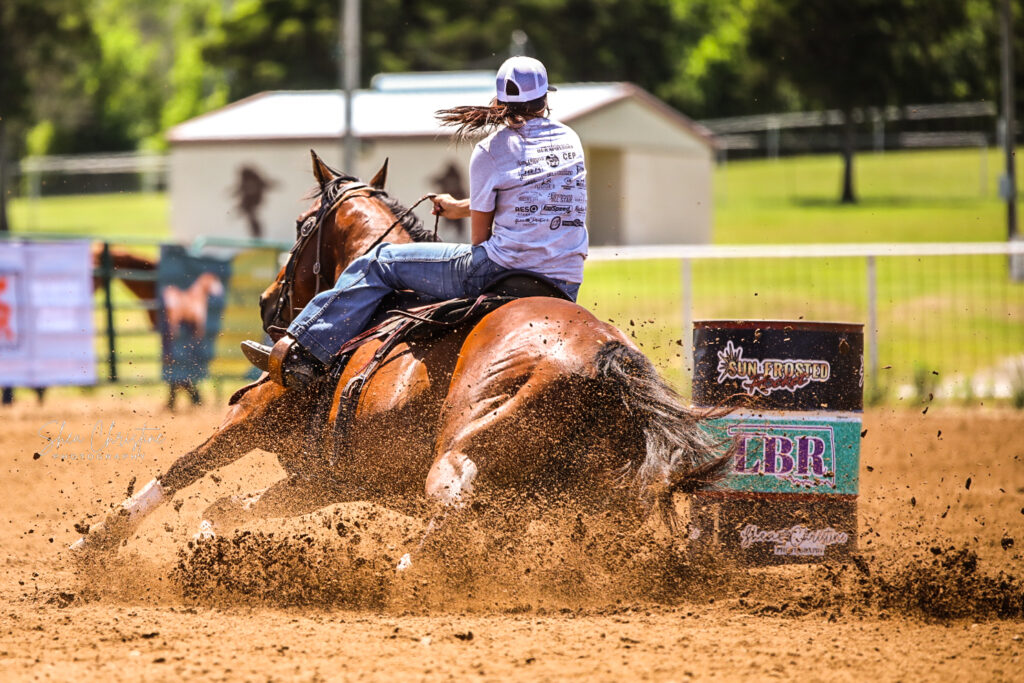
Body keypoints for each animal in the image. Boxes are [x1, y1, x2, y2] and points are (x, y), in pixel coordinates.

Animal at [71, 151, 728, 569]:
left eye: (301, 225)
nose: (266, 301)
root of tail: (601, 357)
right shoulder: (324, 478)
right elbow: (229, 505)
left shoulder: (256, 414)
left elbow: (186, 468)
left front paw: (95, 544)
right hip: (582, 497)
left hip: (464, 445)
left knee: (452, 511)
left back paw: (403, 576)